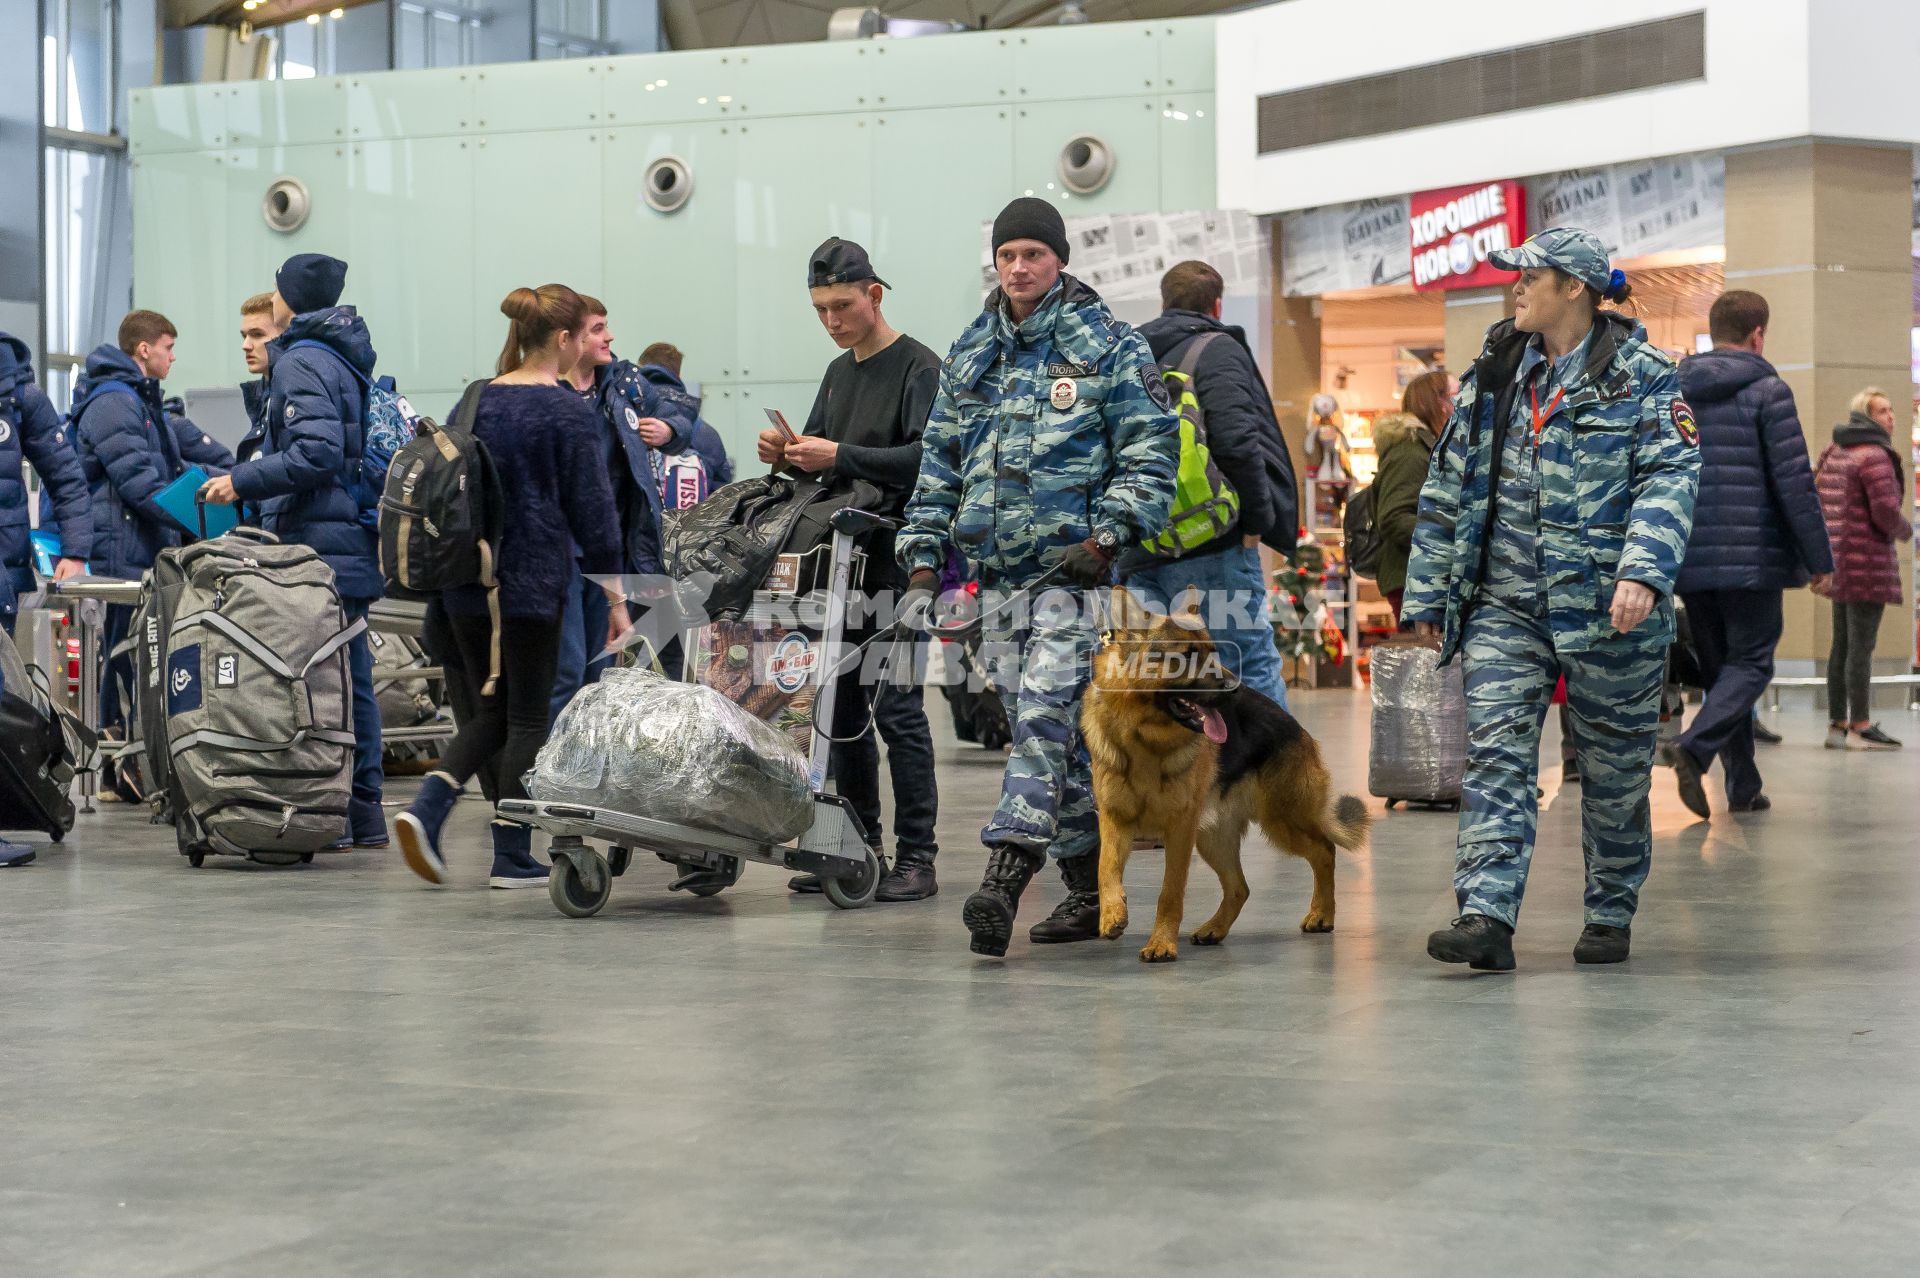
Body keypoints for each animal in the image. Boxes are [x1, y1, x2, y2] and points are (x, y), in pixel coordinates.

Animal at [1090, 587, 1374, 955]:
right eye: (1187, 656)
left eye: (1213, 652)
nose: (1235, 688)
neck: (1143, 738)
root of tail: (1294, 724)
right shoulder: (1114, 821)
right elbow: (1105, 868)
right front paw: (1112, 913)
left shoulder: (1179, 830)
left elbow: (1170, 892)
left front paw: (1162, 943)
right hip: (1214, 838)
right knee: (1240, 887)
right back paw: (1215, 928)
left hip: (1282, 821)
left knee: (1324, 850)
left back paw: (1322, 914)